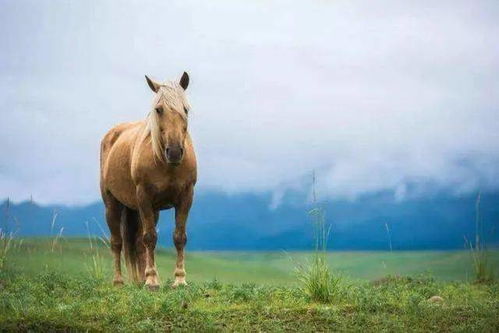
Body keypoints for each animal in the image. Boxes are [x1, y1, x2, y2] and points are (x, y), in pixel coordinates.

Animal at [100, 71, 196, 290]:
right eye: (158, 110)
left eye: (185, 109)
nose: (175, 151)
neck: (165, 164)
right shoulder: (143, 197)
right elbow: (150, 238)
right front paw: (152, 281)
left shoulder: (186, 196)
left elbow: (179, 237)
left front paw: (179, 280)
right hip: (113, 204)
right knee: (117, 242)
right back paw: (119, 281)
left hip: (148, 210)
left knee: (136, 243)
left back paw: (140, 279)